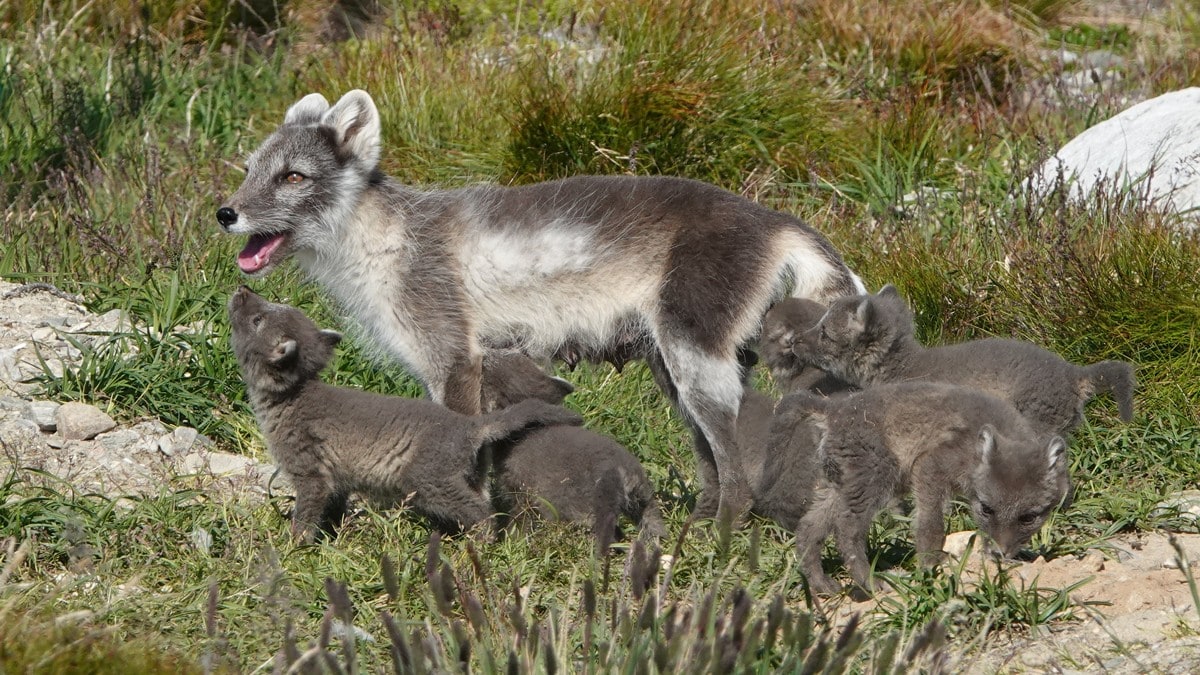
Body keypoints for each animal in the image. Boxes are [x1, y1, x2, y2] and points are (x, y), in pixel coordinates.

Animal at [218, 89, 864, 516]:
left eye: (294, 177)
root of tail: (774, 219)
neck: (384, 241)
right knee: (710, 458)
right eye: (249, 170)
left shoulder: (454, 358)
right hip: (675, 370)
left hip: (695, 360)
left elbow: (466, 443)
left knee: (733, 465)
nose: (225, 213)